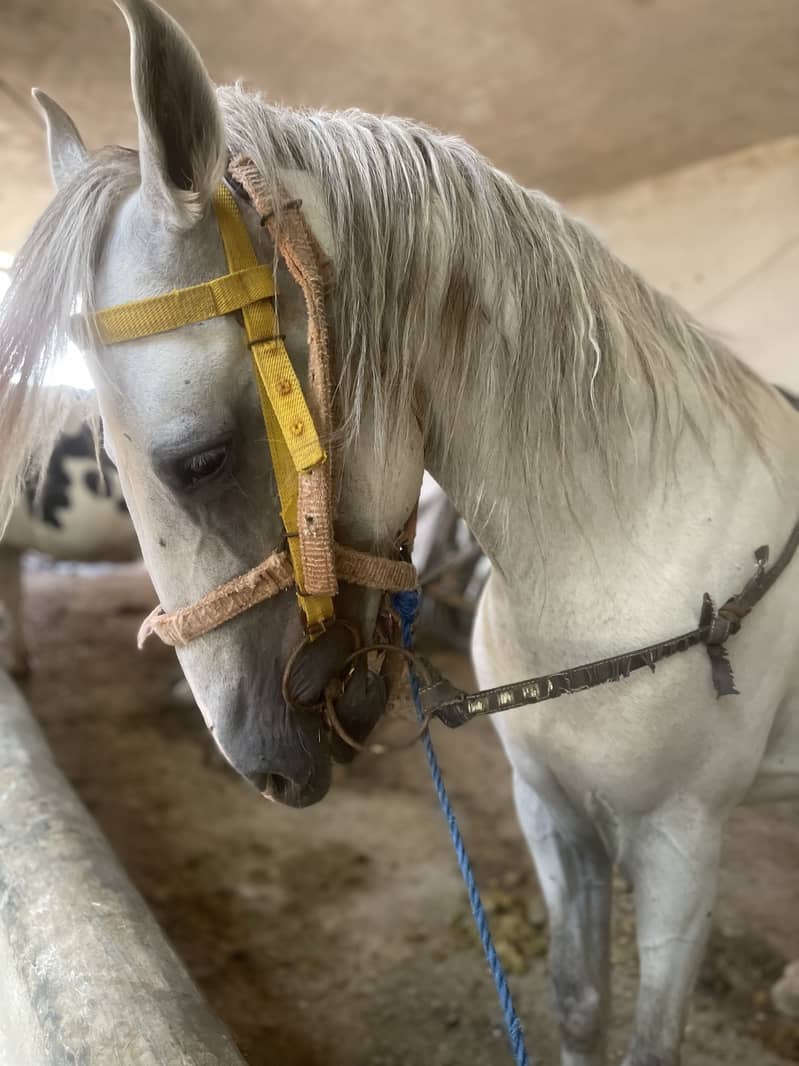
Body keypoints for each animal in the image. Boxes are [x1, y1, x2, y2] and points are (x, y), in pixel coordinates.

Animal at [0, 2, 796, 1063]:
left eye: (200, 459)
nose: (263, 766)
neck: (626, 561)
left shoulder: (680, 847)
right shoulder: (553, 815)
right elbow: (577, 1001)